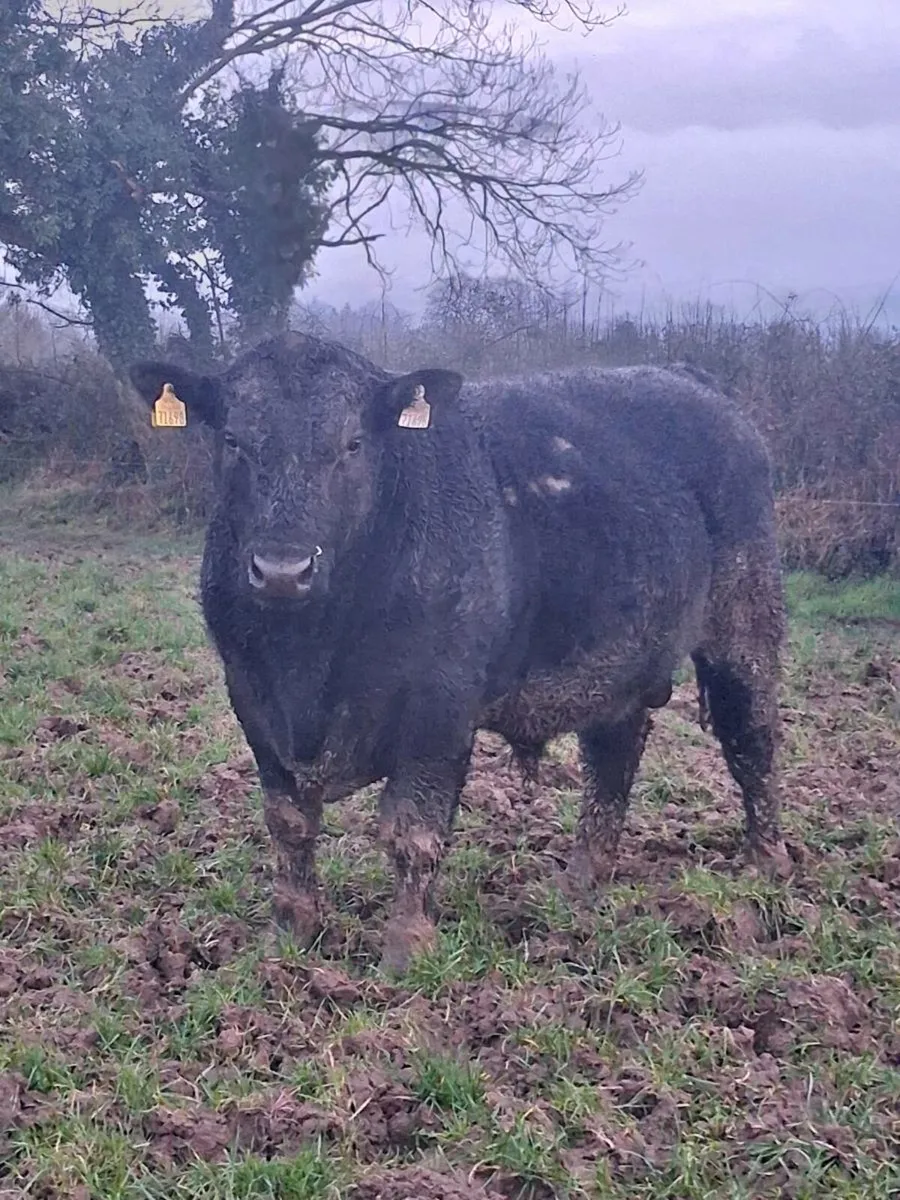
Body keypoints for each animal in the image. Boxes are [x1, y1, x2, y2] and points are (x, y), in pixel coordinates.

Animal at [129, 332, 789, 973]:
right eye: (233, 440)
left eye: (353, 443)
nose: (283, 570)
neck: (309, 657)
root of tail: (687, 378)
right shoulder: (253, 698)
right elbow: (288, 823)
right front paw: (289, 934)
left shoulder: (439, 708)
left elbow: (412, 831)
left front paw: (406, 949)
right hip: (619, 657)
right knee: (613, 755)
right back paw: (580, 884)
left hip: (745, 621)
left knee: (750, 738)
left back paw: (765, 868)